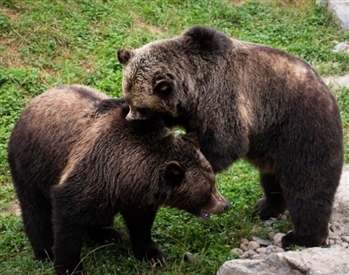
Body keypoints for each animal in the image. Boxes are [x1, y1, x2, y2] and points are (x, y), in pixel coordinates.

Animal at [7, 84, 228, 275]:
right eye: (208, 189)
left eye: (213, 181)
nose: (225, 204)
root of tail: (35, 100)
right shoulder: (91, 171)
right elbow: (67, 217)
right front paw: (70, 266)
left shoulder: (135, 194)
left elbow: (141, 223)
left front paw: (152, 254)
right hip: (32, 163)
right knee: (35, 209)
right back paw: (44, 250)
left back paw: (108, 233)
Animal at [116, 26, 342, 250]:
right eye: (128, 98)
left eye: (142, 107)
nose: (130, 120)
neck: (194, 88)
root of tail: (332, 99)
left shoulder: (222, 98)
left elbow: (225, 144)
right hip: (273, 148)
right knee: (271, 179)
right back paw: (265, 207)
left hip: (301, 133)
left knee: (308, 188)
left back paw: (300, 237)